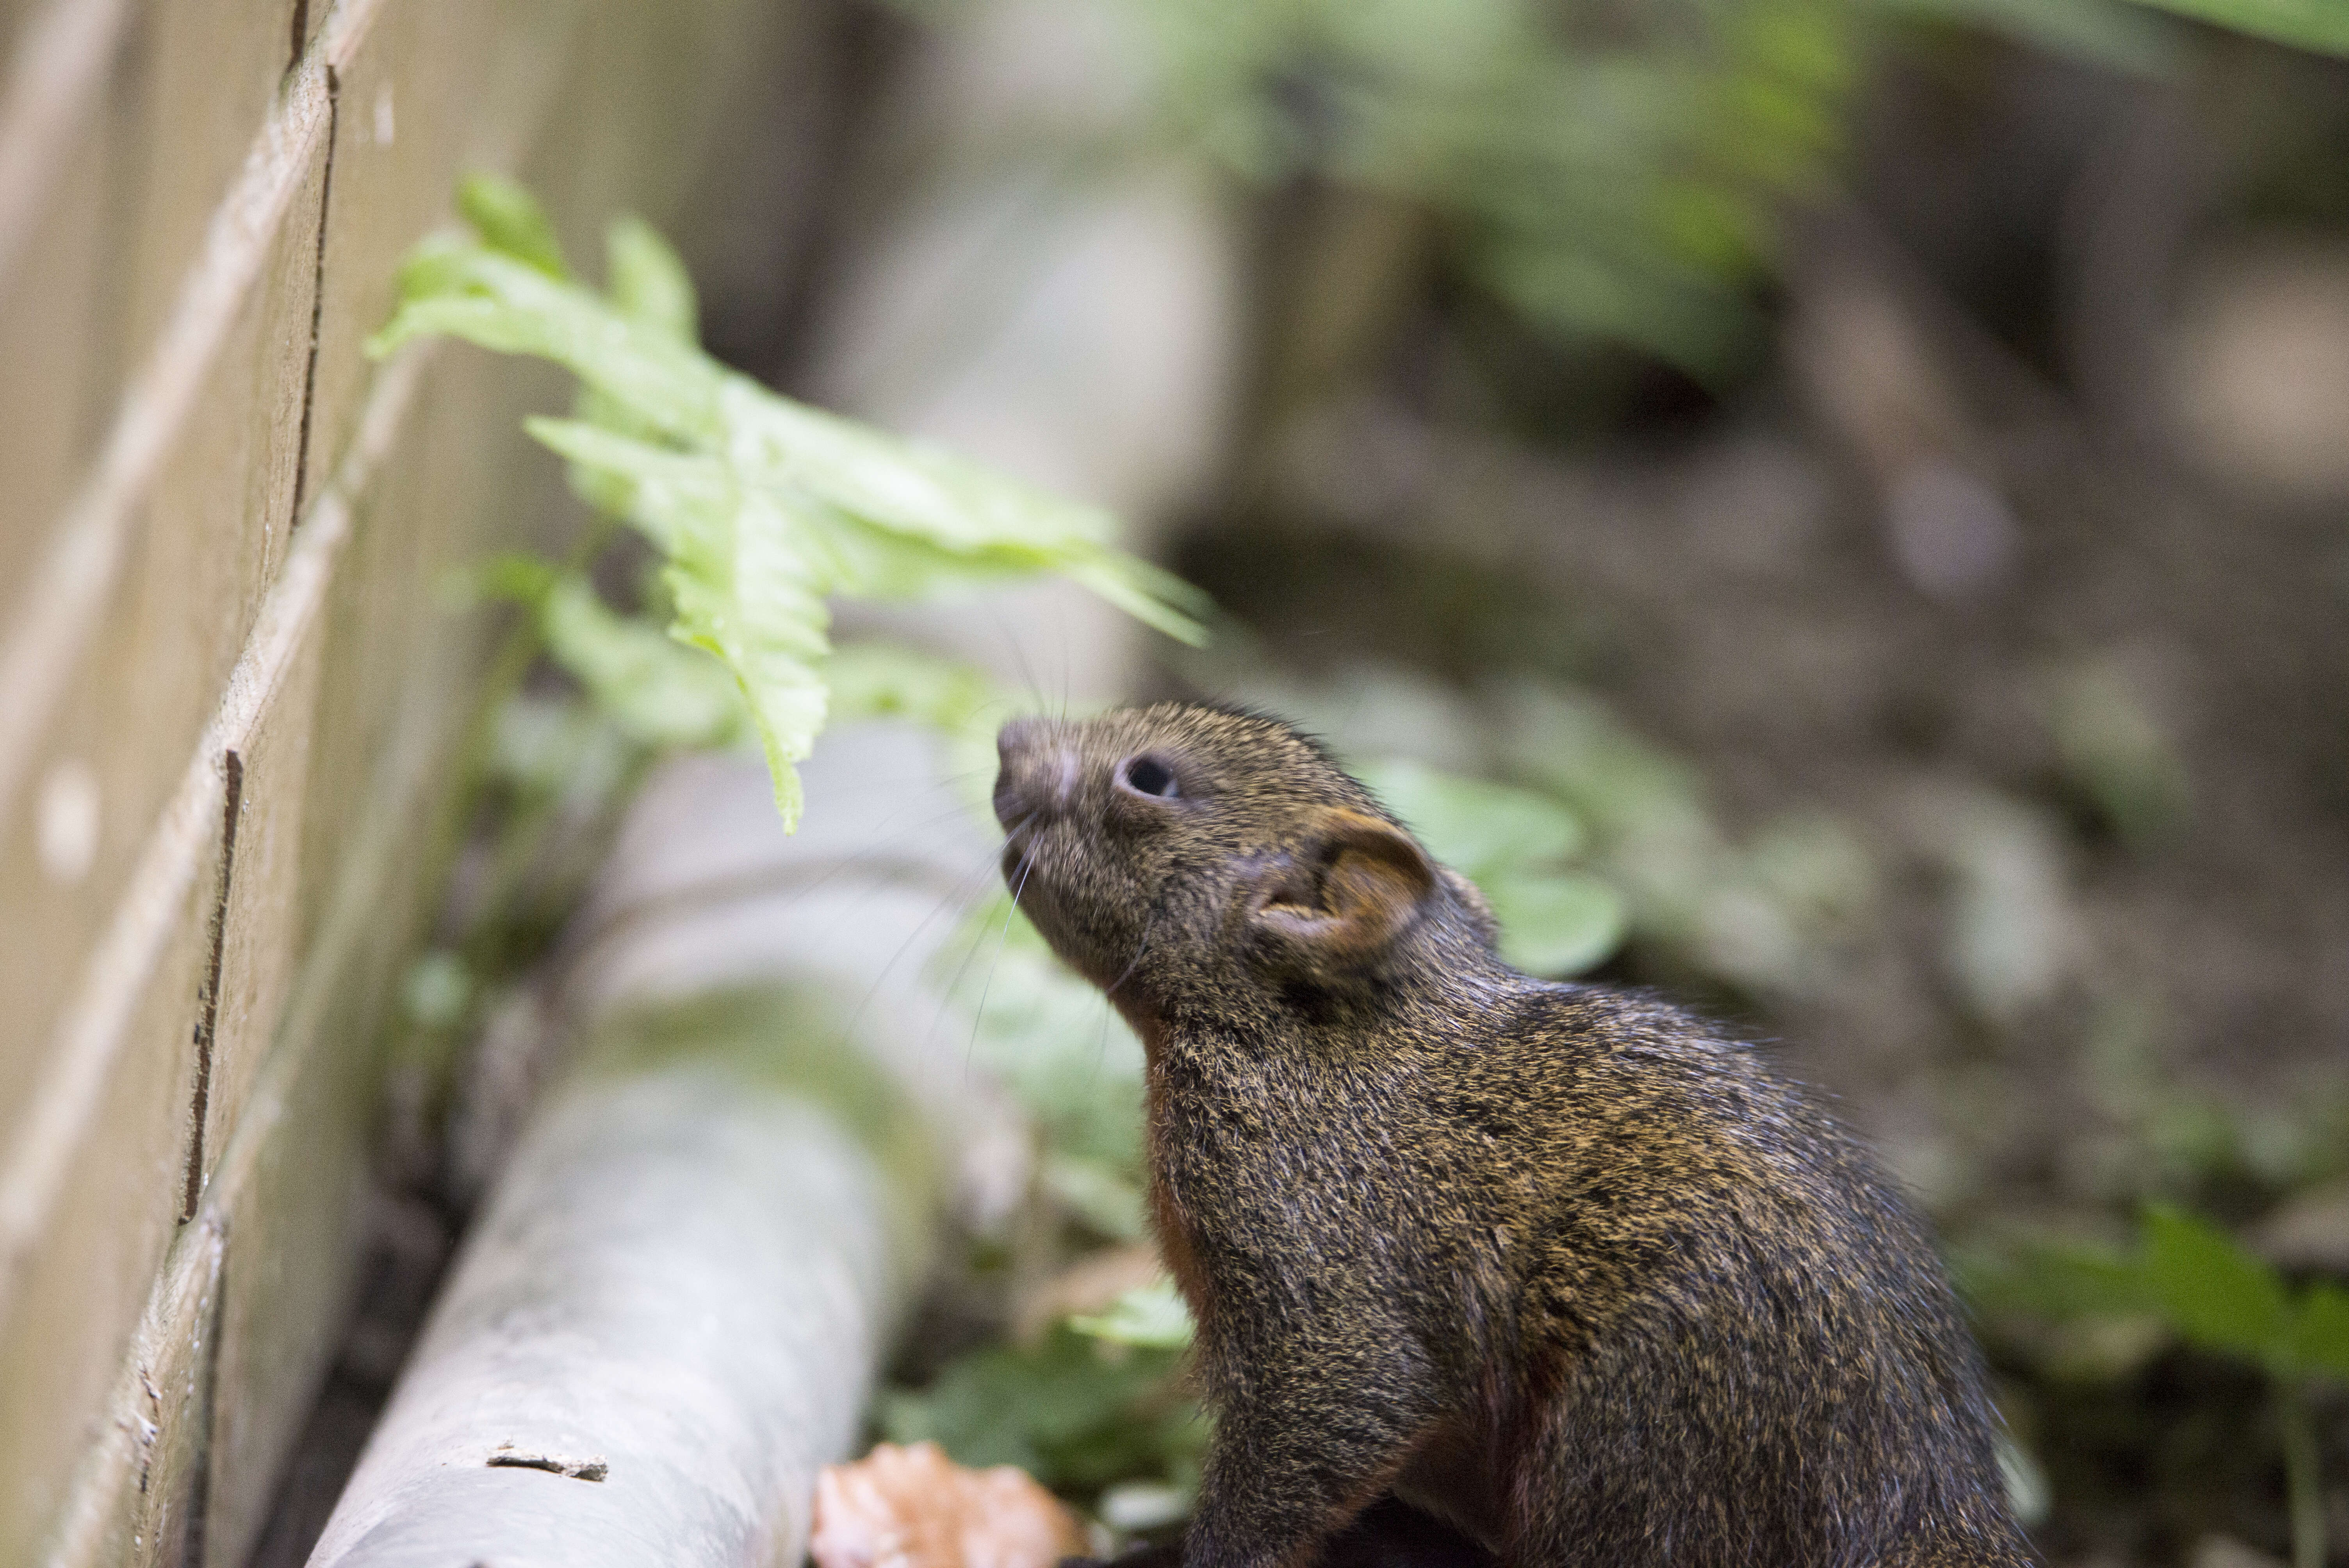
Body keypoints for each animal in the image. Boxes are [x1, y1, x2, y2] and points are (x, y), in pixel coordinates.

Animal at [991, 704, 2039, 1568]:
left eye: (1149, 778)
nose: (1007, 740)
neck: (1297, 1033)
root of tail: (1934, 1505)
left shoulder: (1306, 1242)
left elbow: (1339, 1410)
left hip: (1639, 1434)